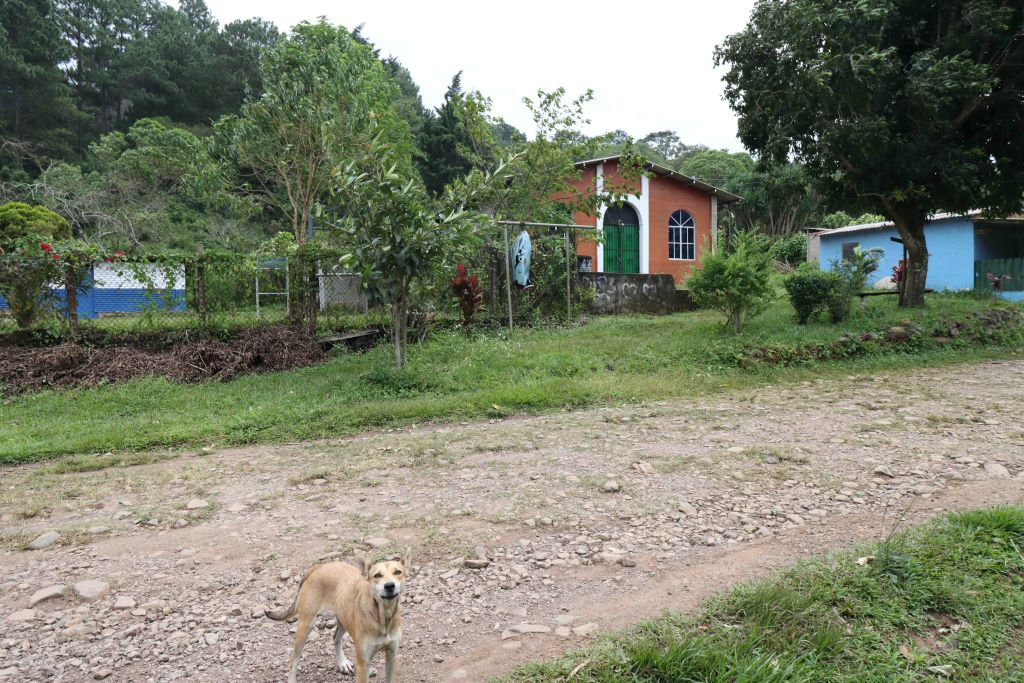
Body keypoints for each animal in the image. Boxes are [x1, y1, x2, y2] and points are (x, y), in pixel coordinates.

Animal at [270, 552, 409, 683]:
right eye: (377, 575)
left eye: (398, 572)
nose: (389, 585)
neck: (383, 614)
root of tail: (318, 567)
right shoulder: (363, 664)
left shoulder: (391, 656)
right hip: (305, 626)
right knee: (293, 660)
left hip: (343, 618)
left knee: (336, 638)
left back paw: (342, 662)